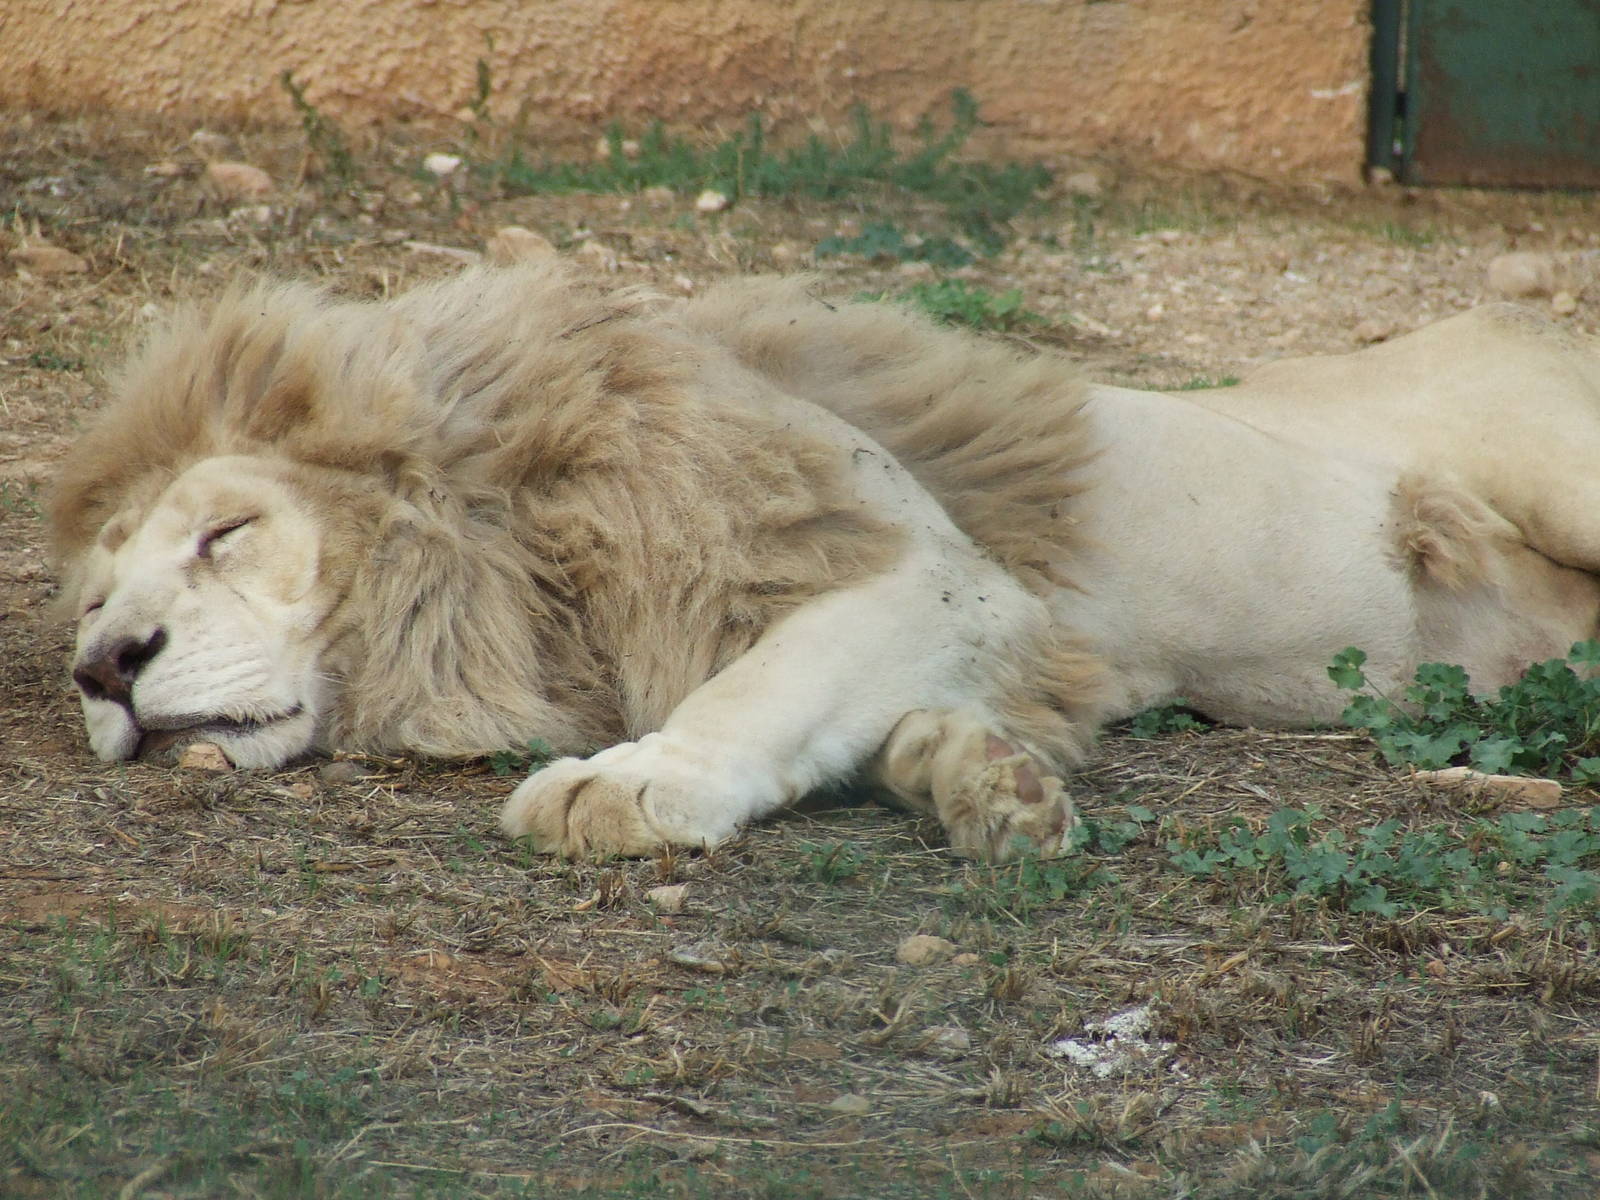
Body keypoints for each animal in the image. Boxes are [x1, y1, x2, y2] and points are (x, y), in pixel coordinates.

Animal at [48, 261, 1600, 861]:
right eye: (95, 595)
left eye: (227, 532)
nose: (104, 668)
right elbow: (904, 731)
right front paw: (990, 788)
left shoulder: (937, 572)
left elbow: (760, 684)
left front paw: (630, 783)